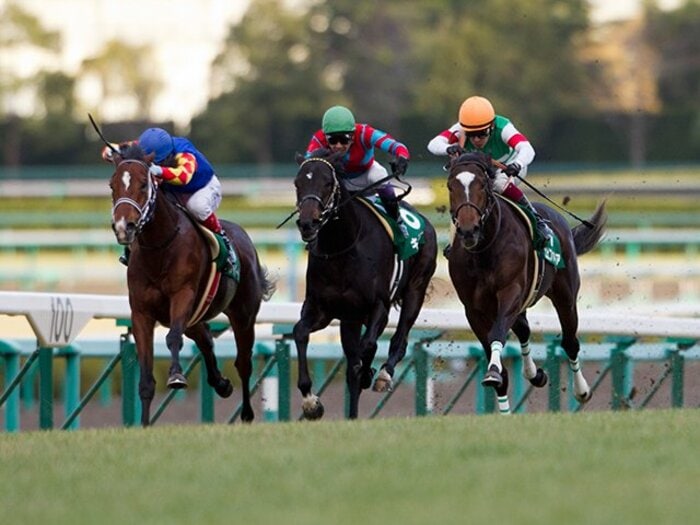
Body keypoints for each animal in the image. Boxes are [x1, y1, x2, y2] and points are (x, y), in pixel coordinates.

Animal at [108, 144, 275, 426]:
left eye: (143, 184)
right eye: (112, 185)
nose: (123, 227)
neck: (160, 247)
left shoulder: (182, 295)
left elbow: (173, 337)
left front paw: (176, 376)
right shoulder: (141, 312)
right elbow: (145, 374)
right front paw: (144, 424)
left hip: (243, 315)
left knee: (243, 362)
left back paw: (246, 413)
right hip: (195, 317)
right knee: (206, 340)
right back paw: (221, 384)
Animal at [292, 151, 438, 419]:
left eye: (327, 183)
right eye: (298, 183)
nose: (308, 224)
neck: (343, 246)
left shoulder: (379, 305)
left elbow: (368, 346)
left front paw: (370, 373)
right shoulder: (321, 309)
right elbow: (300, 332)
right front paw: (310, 402)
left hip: (415, 290)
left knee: (399, 340)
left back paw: (382, 374)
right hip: (350, 318)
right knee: (353, 363)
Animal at [445, 151, 607, 413]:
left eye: (482, 185)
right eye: (451, 186)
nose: (469, 230)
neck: (484, 250)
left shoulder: (510, 291)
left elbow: (497, 334)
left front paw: (493, 371)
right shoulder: (473, 308)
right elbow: (499, 362)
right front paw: (503, 401)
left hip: (565, 296)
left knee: (570, 342)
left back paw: (582, 391)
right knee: (524, 329)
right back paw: (535, 374)